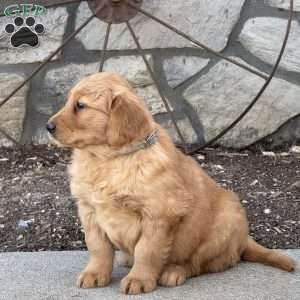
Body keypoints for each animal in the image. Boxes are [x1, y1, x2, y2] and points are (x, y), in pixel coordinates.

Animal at [47, 72, 296, 292]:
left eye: (80, 105)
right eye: (69, 102)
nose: (48, 127)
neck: (108, 160)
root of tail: (244, 239)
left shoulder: (159, 214)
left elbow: (147, 251)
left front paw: (139, 279)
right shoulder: (89, 210)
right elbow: (98, 247)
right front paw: (94, 273)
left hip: (221, 227)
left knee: (197, 264)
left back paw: (173, 271)